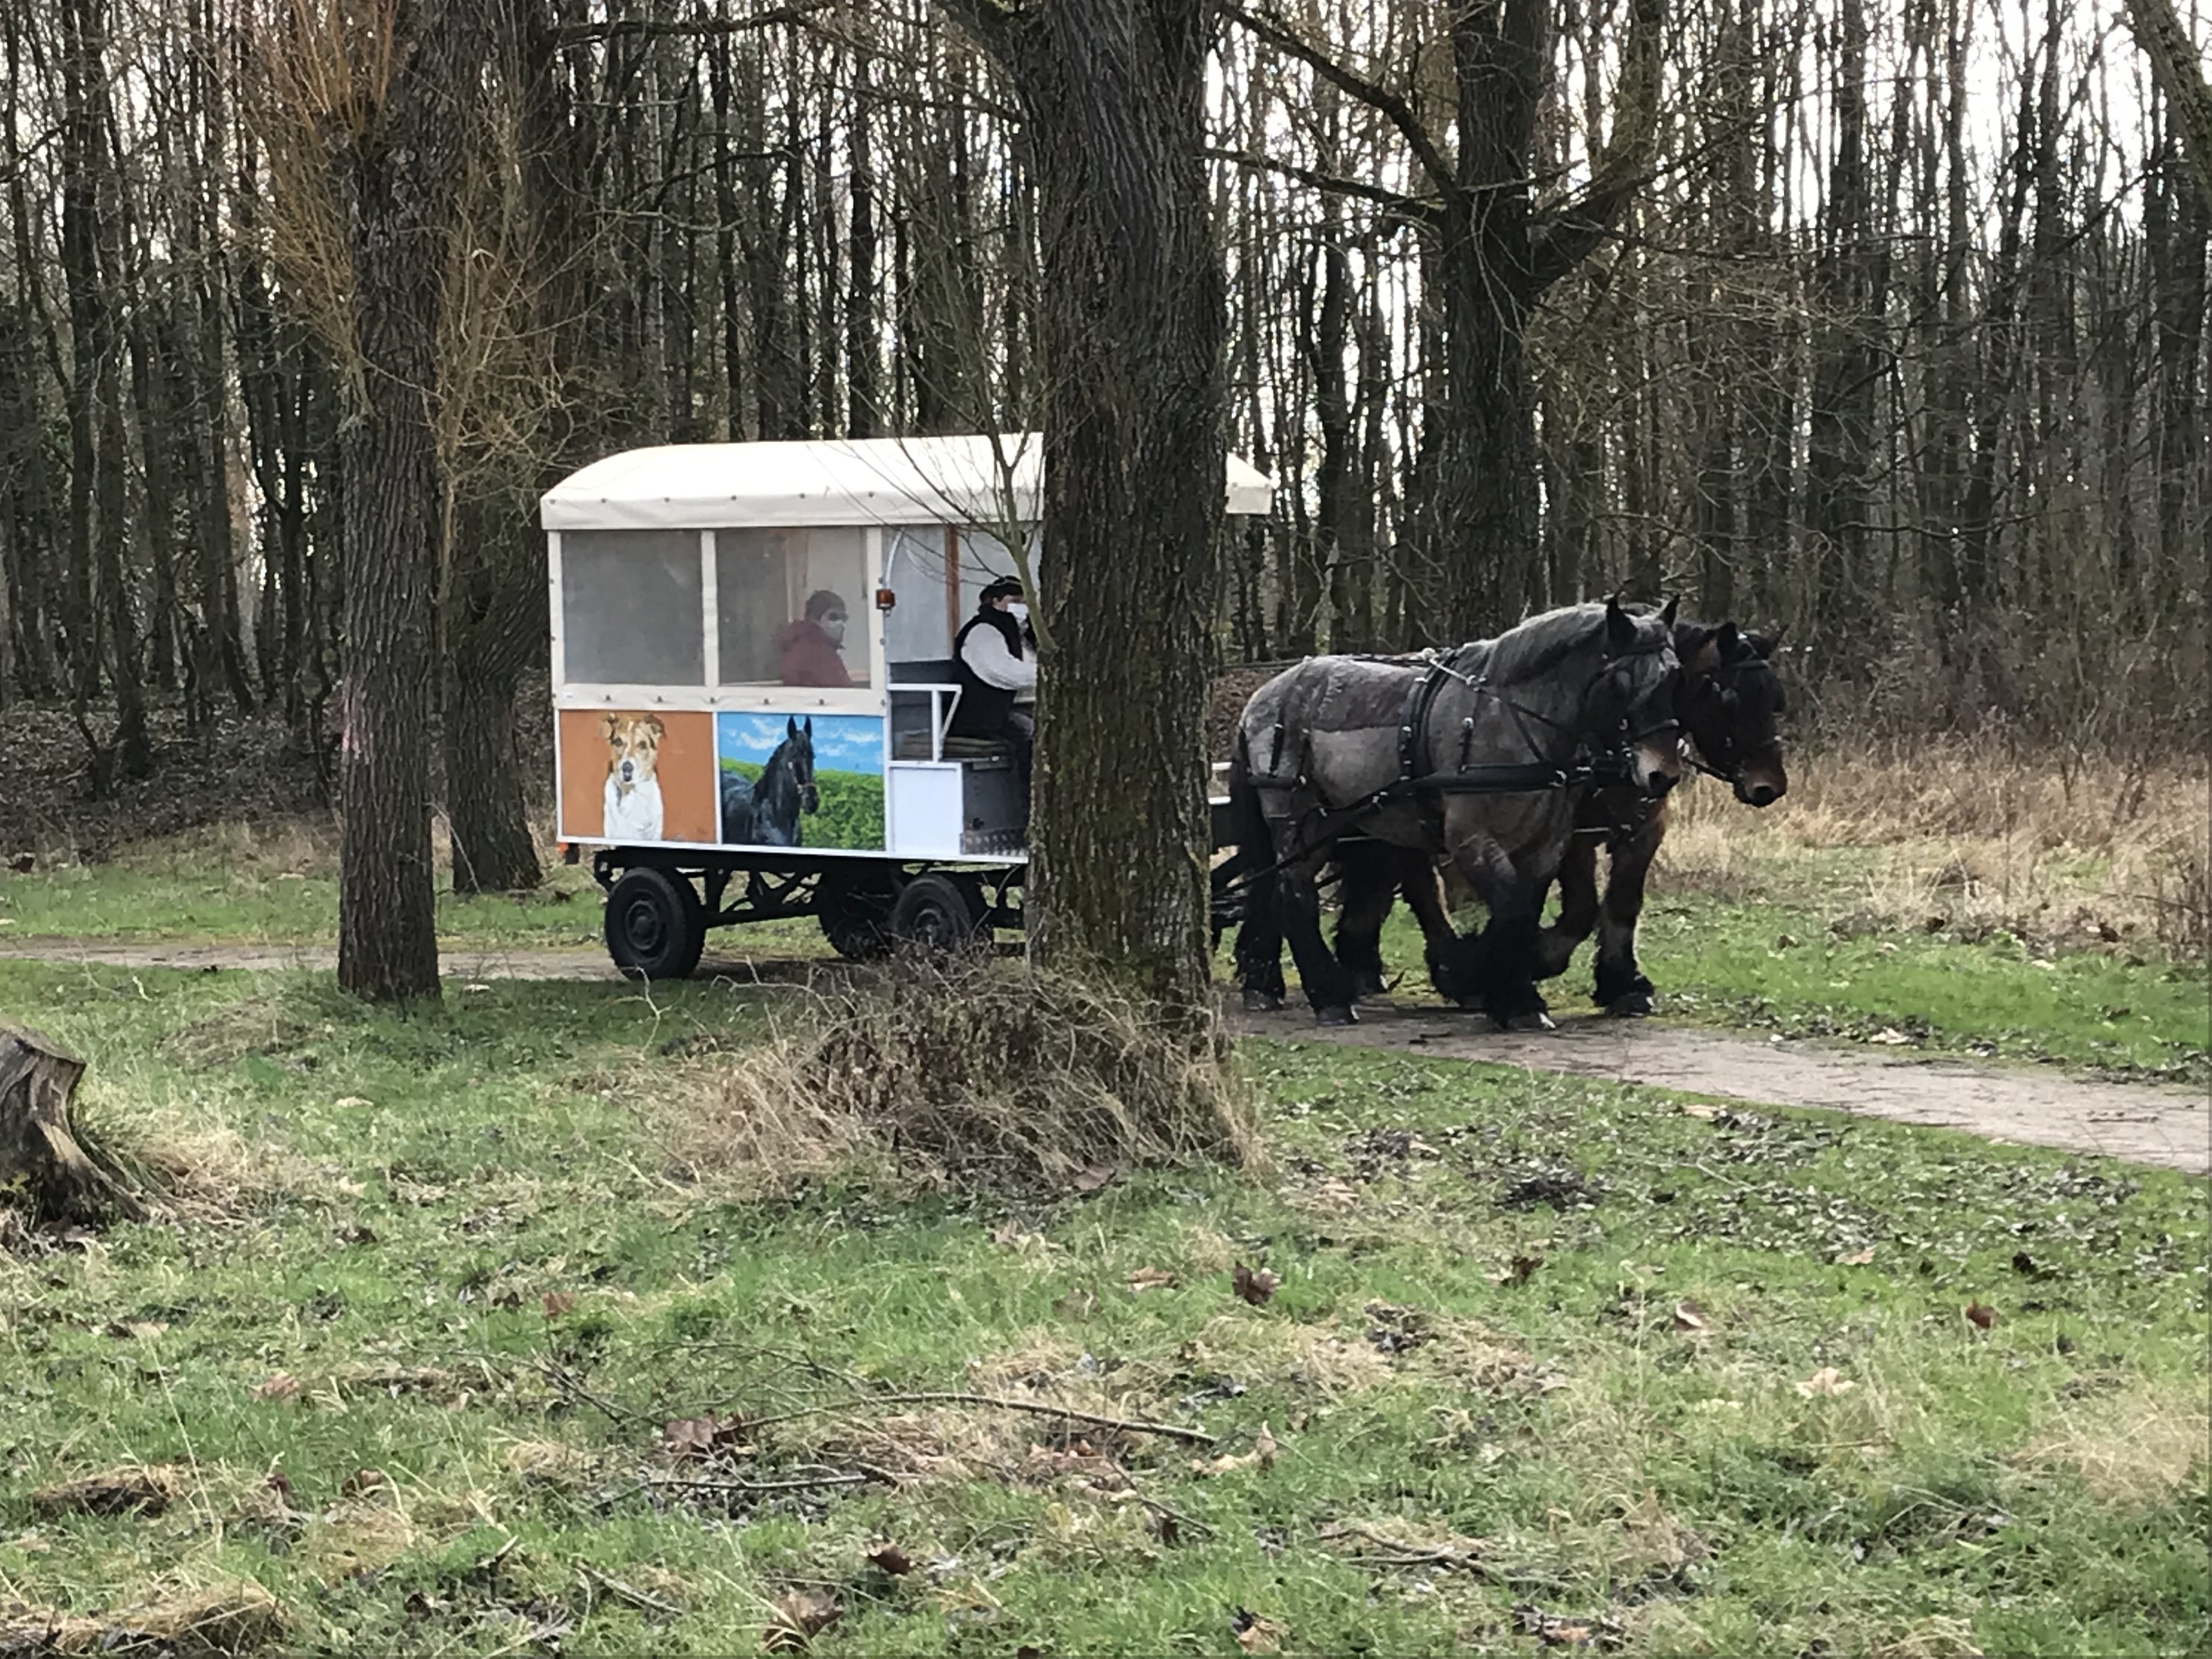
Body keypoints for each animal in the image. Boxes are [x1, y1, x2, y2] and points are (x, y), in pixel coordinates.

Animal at [1238, 606, 1681, 1035]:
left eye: (1675, 676)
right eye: (1624, 683)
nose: (1663, 776)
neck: (1508, 720)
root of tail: (1265, 696)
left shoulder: (1547, 845)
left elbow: (1523, 912)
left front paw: (1495, 983)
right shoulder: (1472, 839)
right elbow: (1513, 908)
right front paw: (1506, 991)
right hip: (1301, 821)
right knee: (1296, 894)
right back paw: (1329, 996)